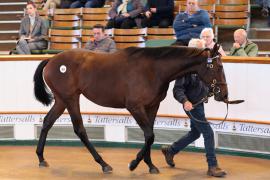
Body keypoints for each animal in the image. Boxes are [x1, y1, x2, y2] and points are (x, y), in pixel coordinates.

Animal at [33, 43, 228, 173]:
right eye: (218, 67)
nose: (224, 95)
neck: (153, 70)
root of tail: (51, 59)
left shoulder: (152, 106)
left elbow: (149, 134)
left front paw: (150, 165)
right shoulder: (135, 107)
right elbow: (149, 135)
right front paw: (133, 164)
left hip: (61, 100)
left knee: (47, 122)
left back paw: (41, 158)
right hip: (71, 99)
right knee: (79, 129)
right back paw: (104, 164)